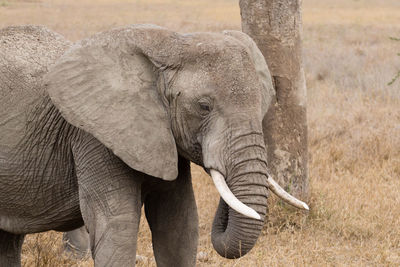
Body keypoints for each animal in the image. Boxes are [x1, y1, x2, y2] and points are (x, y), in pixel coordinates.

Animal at [0, 24, 310, 266]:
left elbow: (178, 223)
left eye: (263, 104)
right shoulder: (94, 134)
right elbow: (118, 224)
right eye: (204, 107)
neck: (169, 45)